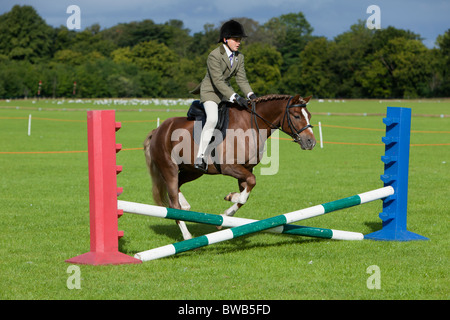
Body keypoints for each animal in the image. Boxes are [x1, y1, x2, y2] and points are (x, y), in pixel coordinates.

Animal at [144, 94, 316, 239]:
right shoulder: (229, 167)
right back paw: (187, 236)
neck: (252, 125)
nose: (311, 142)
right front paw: (232, 197)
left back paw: (186, 205)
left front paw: (227, 213)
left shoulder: (246, 169)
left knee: (179, 186)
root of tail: (158, 129)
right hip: (169, 169)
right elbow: (251, 183)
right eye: (296, 116)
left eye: (309, 116)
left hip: (193, 171)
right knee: (173, 203)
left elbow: (246, 194)